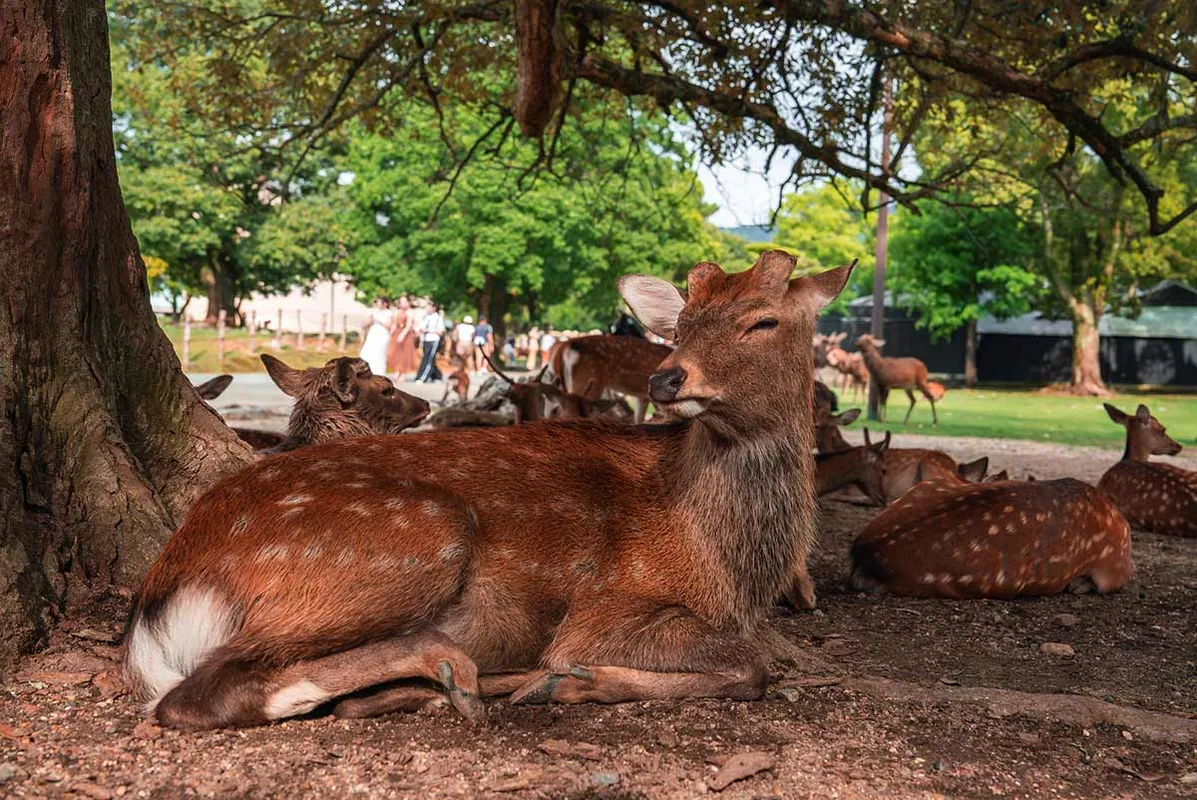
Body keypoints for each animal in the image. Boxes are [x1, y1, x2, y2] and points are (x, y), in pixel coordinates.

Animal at [121, 251, 851, 729]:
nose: (667, 378)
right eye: (682, 322)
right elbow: (751, 668)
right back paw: (462, 672)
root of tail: (164, 589)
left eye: (763, 321)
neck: (729, 562)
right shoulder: (607, 607)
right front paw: (570, 681)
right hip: (413, 536)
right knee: (194, 696)